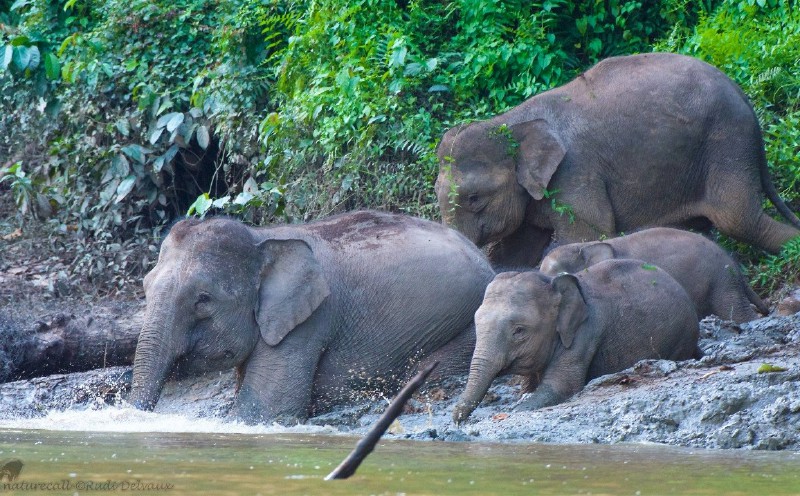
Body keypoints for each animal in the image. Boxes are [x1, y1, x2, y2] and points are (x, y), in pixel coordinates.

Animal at [435, 52, 800, 269]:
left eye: (474, 198)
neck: (509, 121)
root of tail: (743, 94)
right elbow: (514, 253)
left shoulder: (574, 172)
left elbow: (587, 233)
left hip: (727, 141)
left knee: (737, 219)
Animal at [452, 259, 699, 423]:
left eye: (519, 331)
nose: (456, 420)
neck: (553, 283)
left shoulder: (585, 334)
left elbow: (560, 386)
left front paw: (515, 410)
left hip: (682, 335)